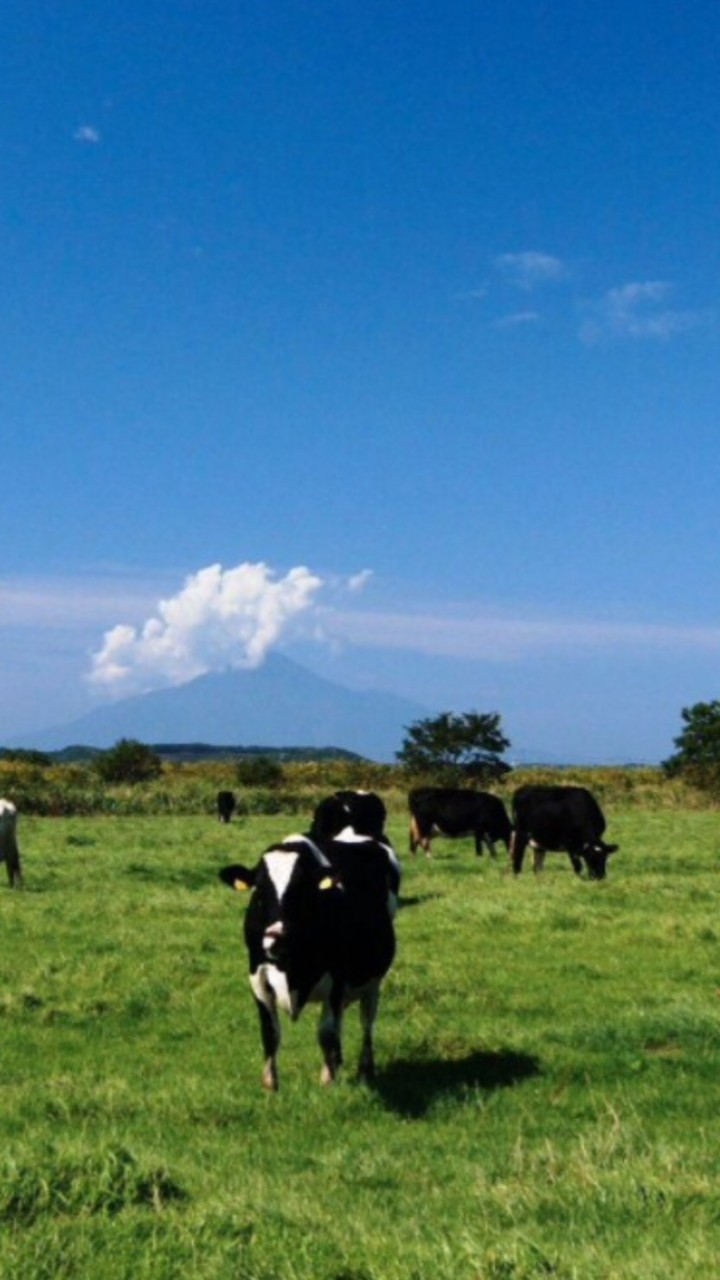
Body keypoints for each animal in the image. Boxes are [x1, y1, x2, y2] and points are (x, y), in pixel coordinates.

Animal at [220, 829, 394, 1090]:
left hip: (373, 980)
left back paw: (365, 1068)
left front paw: (327, 1080)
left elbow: (326, 1031)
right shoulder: (257, 976)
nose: (277, 939)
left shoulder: (338, 976)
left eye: (301, 889)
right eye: (259, 890)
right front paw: (270, 1084)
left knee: (366, 1021)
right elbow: (270, 1032)